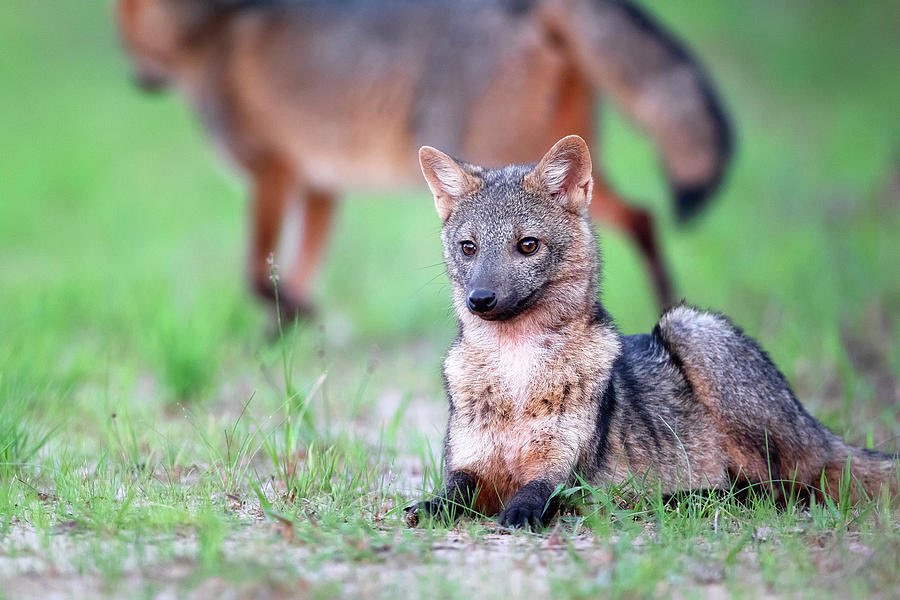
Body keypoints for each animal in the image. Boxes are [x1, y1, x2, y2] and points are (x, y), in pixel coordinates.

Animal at [115, 0, 732, 317]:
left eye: (121, 34)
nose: (137, 82)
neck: (209, 33)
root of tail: (527, 8)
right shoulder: (321, 186)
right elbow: (299, 267)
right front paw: (290, 331)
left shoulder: (275, 171)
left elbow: (254, 274)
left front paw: (294, 315)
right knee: (644, 216)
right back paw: (665, 308)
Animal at [407, 135, 898, 529]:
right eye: (468, 248)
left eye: (527, 245)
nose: (480, 298)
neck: (517, 377)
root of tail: (817, 429)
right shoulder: (471, 465)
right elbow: (452, 493)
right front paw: (427, 507)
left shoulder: (561, 469)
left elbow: (535, 493)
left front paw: (521, 513)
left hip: (687, 326)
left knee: (780, 492)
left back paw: (686, 496)